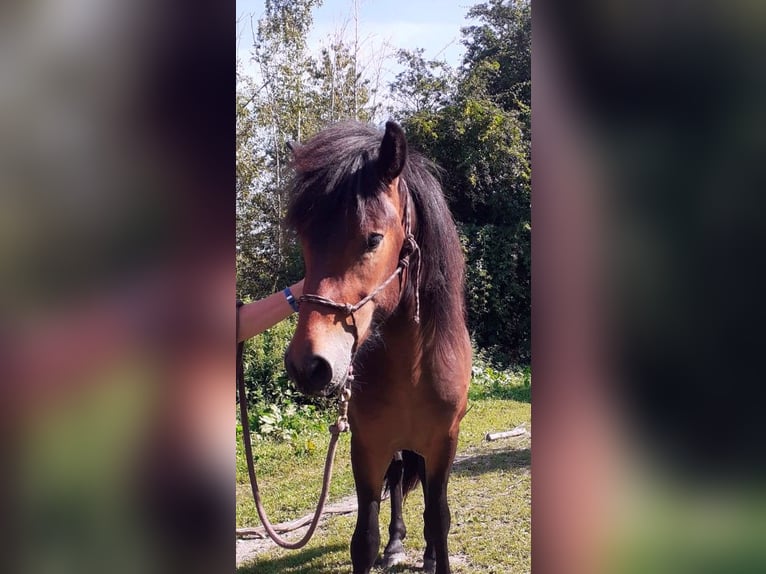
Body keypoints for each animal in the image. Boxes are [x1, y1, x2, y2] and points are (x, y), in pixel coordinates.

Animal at [284, 121, 472, 574]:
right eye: (304, 240)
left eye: (372, 239)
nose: (308, 365)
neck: (415, 367)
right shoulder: (368, 445)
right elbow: (364, 537)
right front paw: (386, 544)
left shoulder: (444, 442)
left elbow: (439, 518)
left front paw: (434, 554)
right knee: (400, 482)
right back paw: (397, 543)